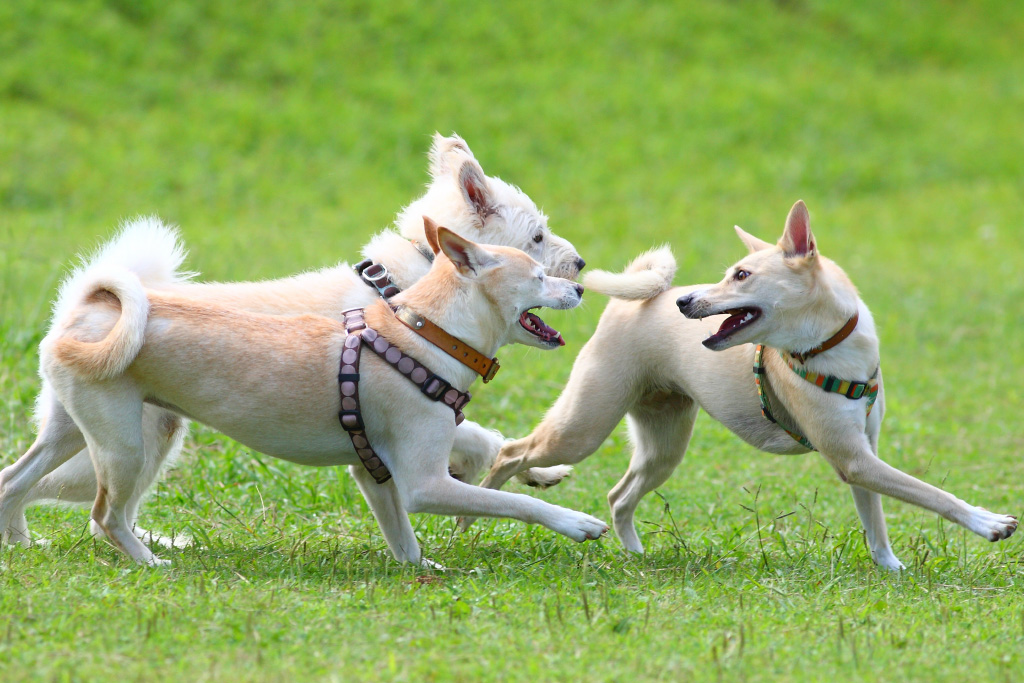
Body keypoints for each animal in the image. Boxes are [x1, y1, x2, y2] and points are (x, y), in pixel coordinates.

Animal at [0, 135, 577, 548]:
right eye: (538, 237)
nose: (580, 265)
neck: (401, 283)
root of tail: (84, 305)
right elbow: (482, 437)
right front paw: (525, 469)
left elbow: (486, 439)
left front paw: (534, 470)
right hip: (136, 438)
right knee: (85, 503)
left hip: (98, 433)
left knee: (28, 482)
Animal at [471, 200, 1015, 569]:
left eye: (741, 274)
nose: (685, 302)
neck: (828, 349)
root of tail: (641, 299)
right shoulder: (856, 457)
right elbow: (930, 494)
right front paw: (988, 522)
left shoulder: (862, 453)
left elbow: (875, 519)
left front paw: (891, 566)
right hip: (584, 425)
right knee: (513, 453)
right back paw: (476, 518)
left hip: (664, 443)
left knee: (620, 495)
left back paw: (637, 556)